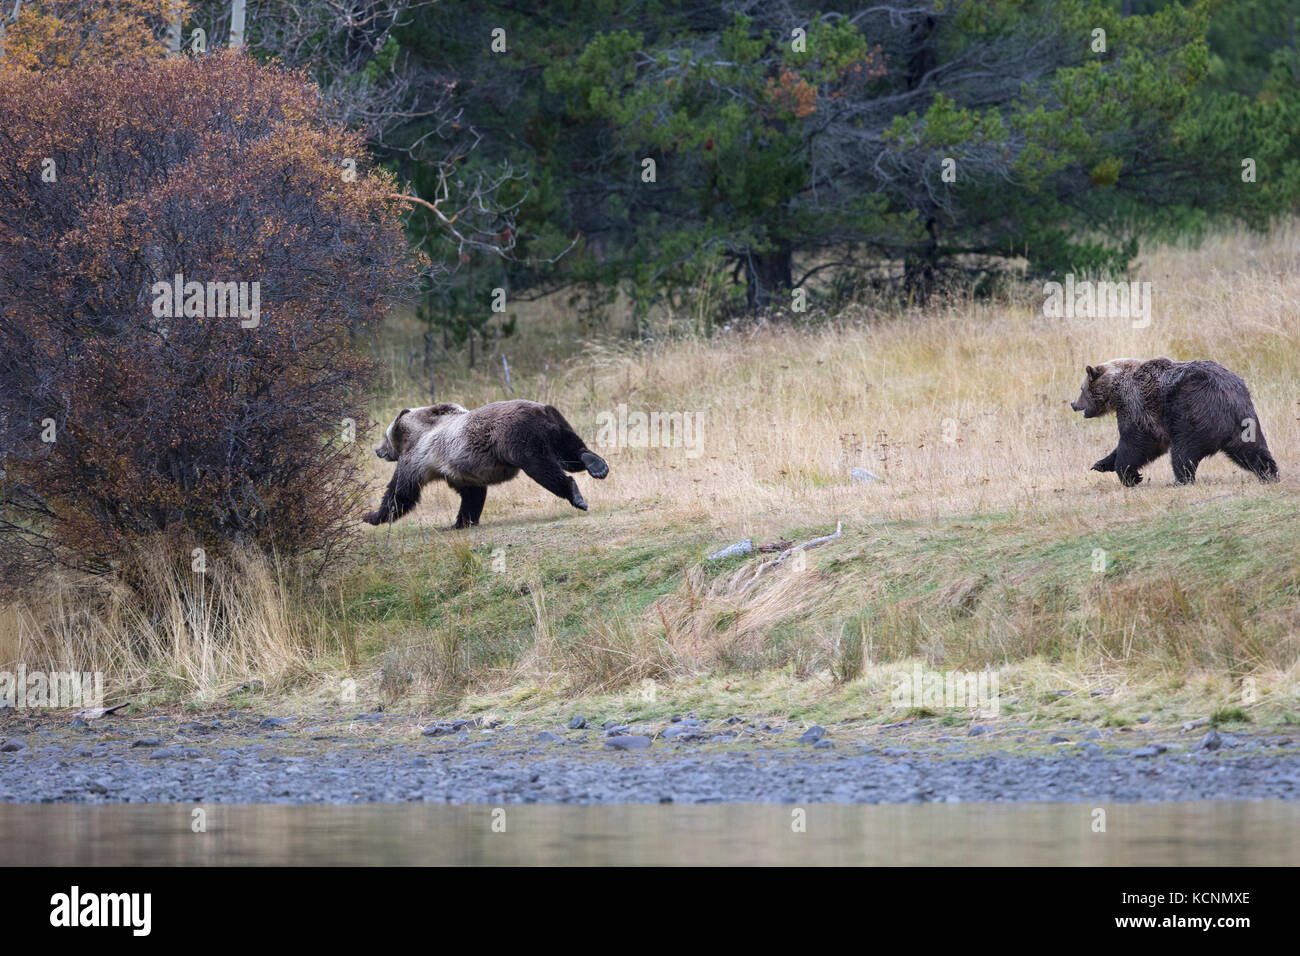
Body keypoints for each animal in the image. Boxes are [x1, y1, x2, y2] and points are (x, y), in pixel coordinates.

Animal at [364, 398, 611, 528]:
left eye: (385, 436)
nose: (378, 450)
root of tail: (540, 411)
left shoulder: (416, 459)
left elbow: (401, 493)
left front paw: (371, 516)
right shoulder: (459, 470)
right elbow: (472, 495)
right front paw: (462, 522)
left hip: (519, 439)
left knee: (544, 469)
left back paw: (575, 495)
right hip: (557, 425)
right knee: (570, 451)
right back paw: (597, 466)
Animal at [1066, 356, 1279, 486]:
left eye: (1082, 388)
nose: (1073, 403)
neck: (1116, 390)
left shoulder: (1137, 406)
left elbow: (1135, 443)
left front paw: (1130, 475)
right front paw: (1100, 464)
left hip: (1193, 413)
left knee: (1183, 452)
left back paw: (1179, 480)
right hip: (1244, 423)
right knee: (1252, 450)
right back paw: (1269, 473)